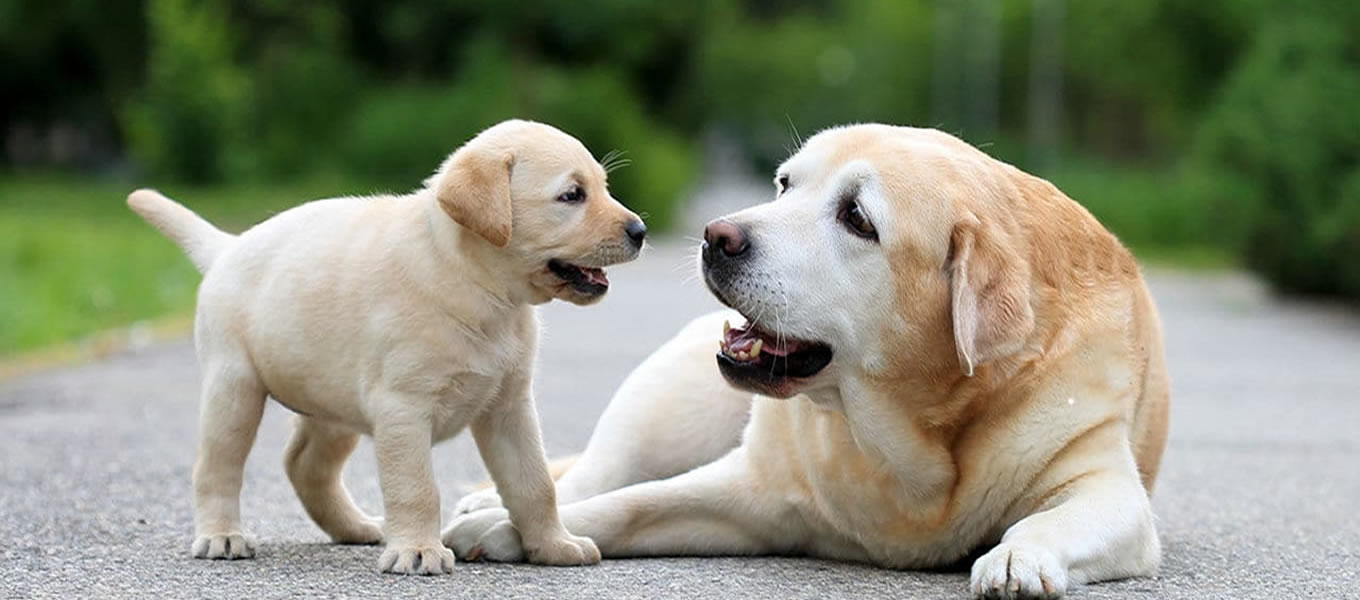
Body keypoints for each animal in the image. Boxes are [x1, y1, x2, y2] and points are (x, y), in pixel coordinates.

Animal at [128, 119, 646, 575]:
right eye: (572, 195)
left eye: (601, 187)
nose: (640, 231)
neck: (475, 286)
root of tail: (227, 247)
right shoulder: (404, 409)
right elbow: (416, 488)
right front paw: (417, 549)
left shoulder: (509, 408)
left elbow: (534, 484)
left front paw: (553, 545)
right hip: (234, 390)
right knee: (217, 467)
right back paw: (221, 535)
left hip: (333, 408)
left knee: (304, 466)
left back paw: (355, 527)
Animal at [445, 123, 1170, 598]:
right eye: (785, 184)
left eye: (858, 217)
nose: (715, 236)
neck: (900, 444)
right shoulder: (749, 488)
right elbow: (624, 506)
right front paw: (512, 529)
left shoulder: (1110, 490)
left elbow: (1057, 517)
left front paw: (1020, 556)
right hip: (663, 409)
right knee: (597, 473)